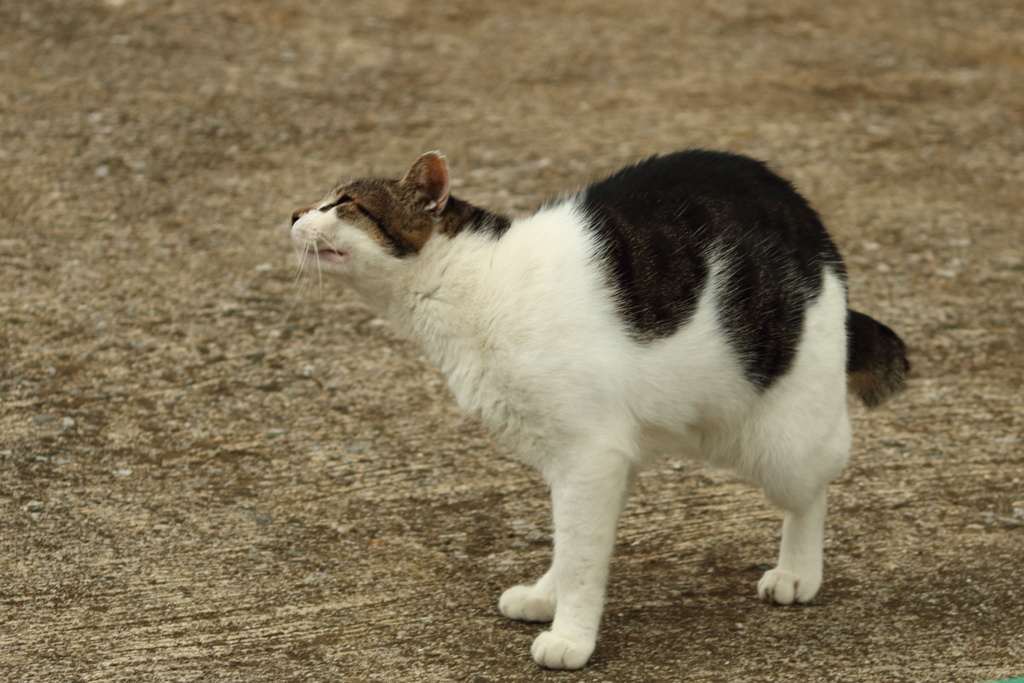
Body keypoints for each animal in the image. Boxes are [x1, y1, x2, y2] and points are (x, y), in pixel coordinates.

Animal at [290, 148, 913, 667]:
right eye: (321, 200)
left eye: (343, 204)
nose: (294, 212)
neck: (471, 286)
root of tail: (805, 215)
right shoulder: (581, 459)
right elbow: (571, 542)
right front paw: (550, 600)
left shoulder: (588, 454)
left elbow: (582, 556)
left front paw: (571, 638)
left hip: (780, 438)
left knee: (813, 488)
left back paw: (798, 571)